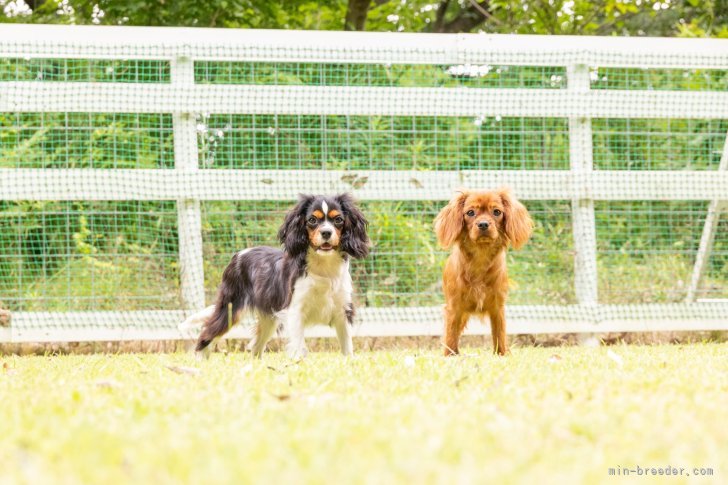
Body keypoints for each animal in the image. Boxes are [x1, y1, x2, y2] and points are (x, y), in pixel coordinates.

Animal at [179, 194, 366, 360]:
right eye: (312, 220)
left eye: (338, 220)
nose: (326, 232)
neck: (323, 265)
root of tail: (238, 255)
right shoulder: (295, 311)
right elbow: (298, 345)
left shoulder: (343, 311)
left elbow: (347, 346)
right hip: (231, 309)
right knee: (207, 333)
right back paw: (200, 360)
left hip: (268, 319)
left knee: (256, 347)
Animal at [436, 189, 532, 356]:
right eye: (470, 212)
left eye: (497, 212)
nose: (483, 224)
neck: (481, 255)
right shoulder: (454, 308)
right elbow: (451, 335)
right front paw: (450, 356)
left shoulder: (497, 307)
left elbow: (499, 334)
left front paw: (502, 354)